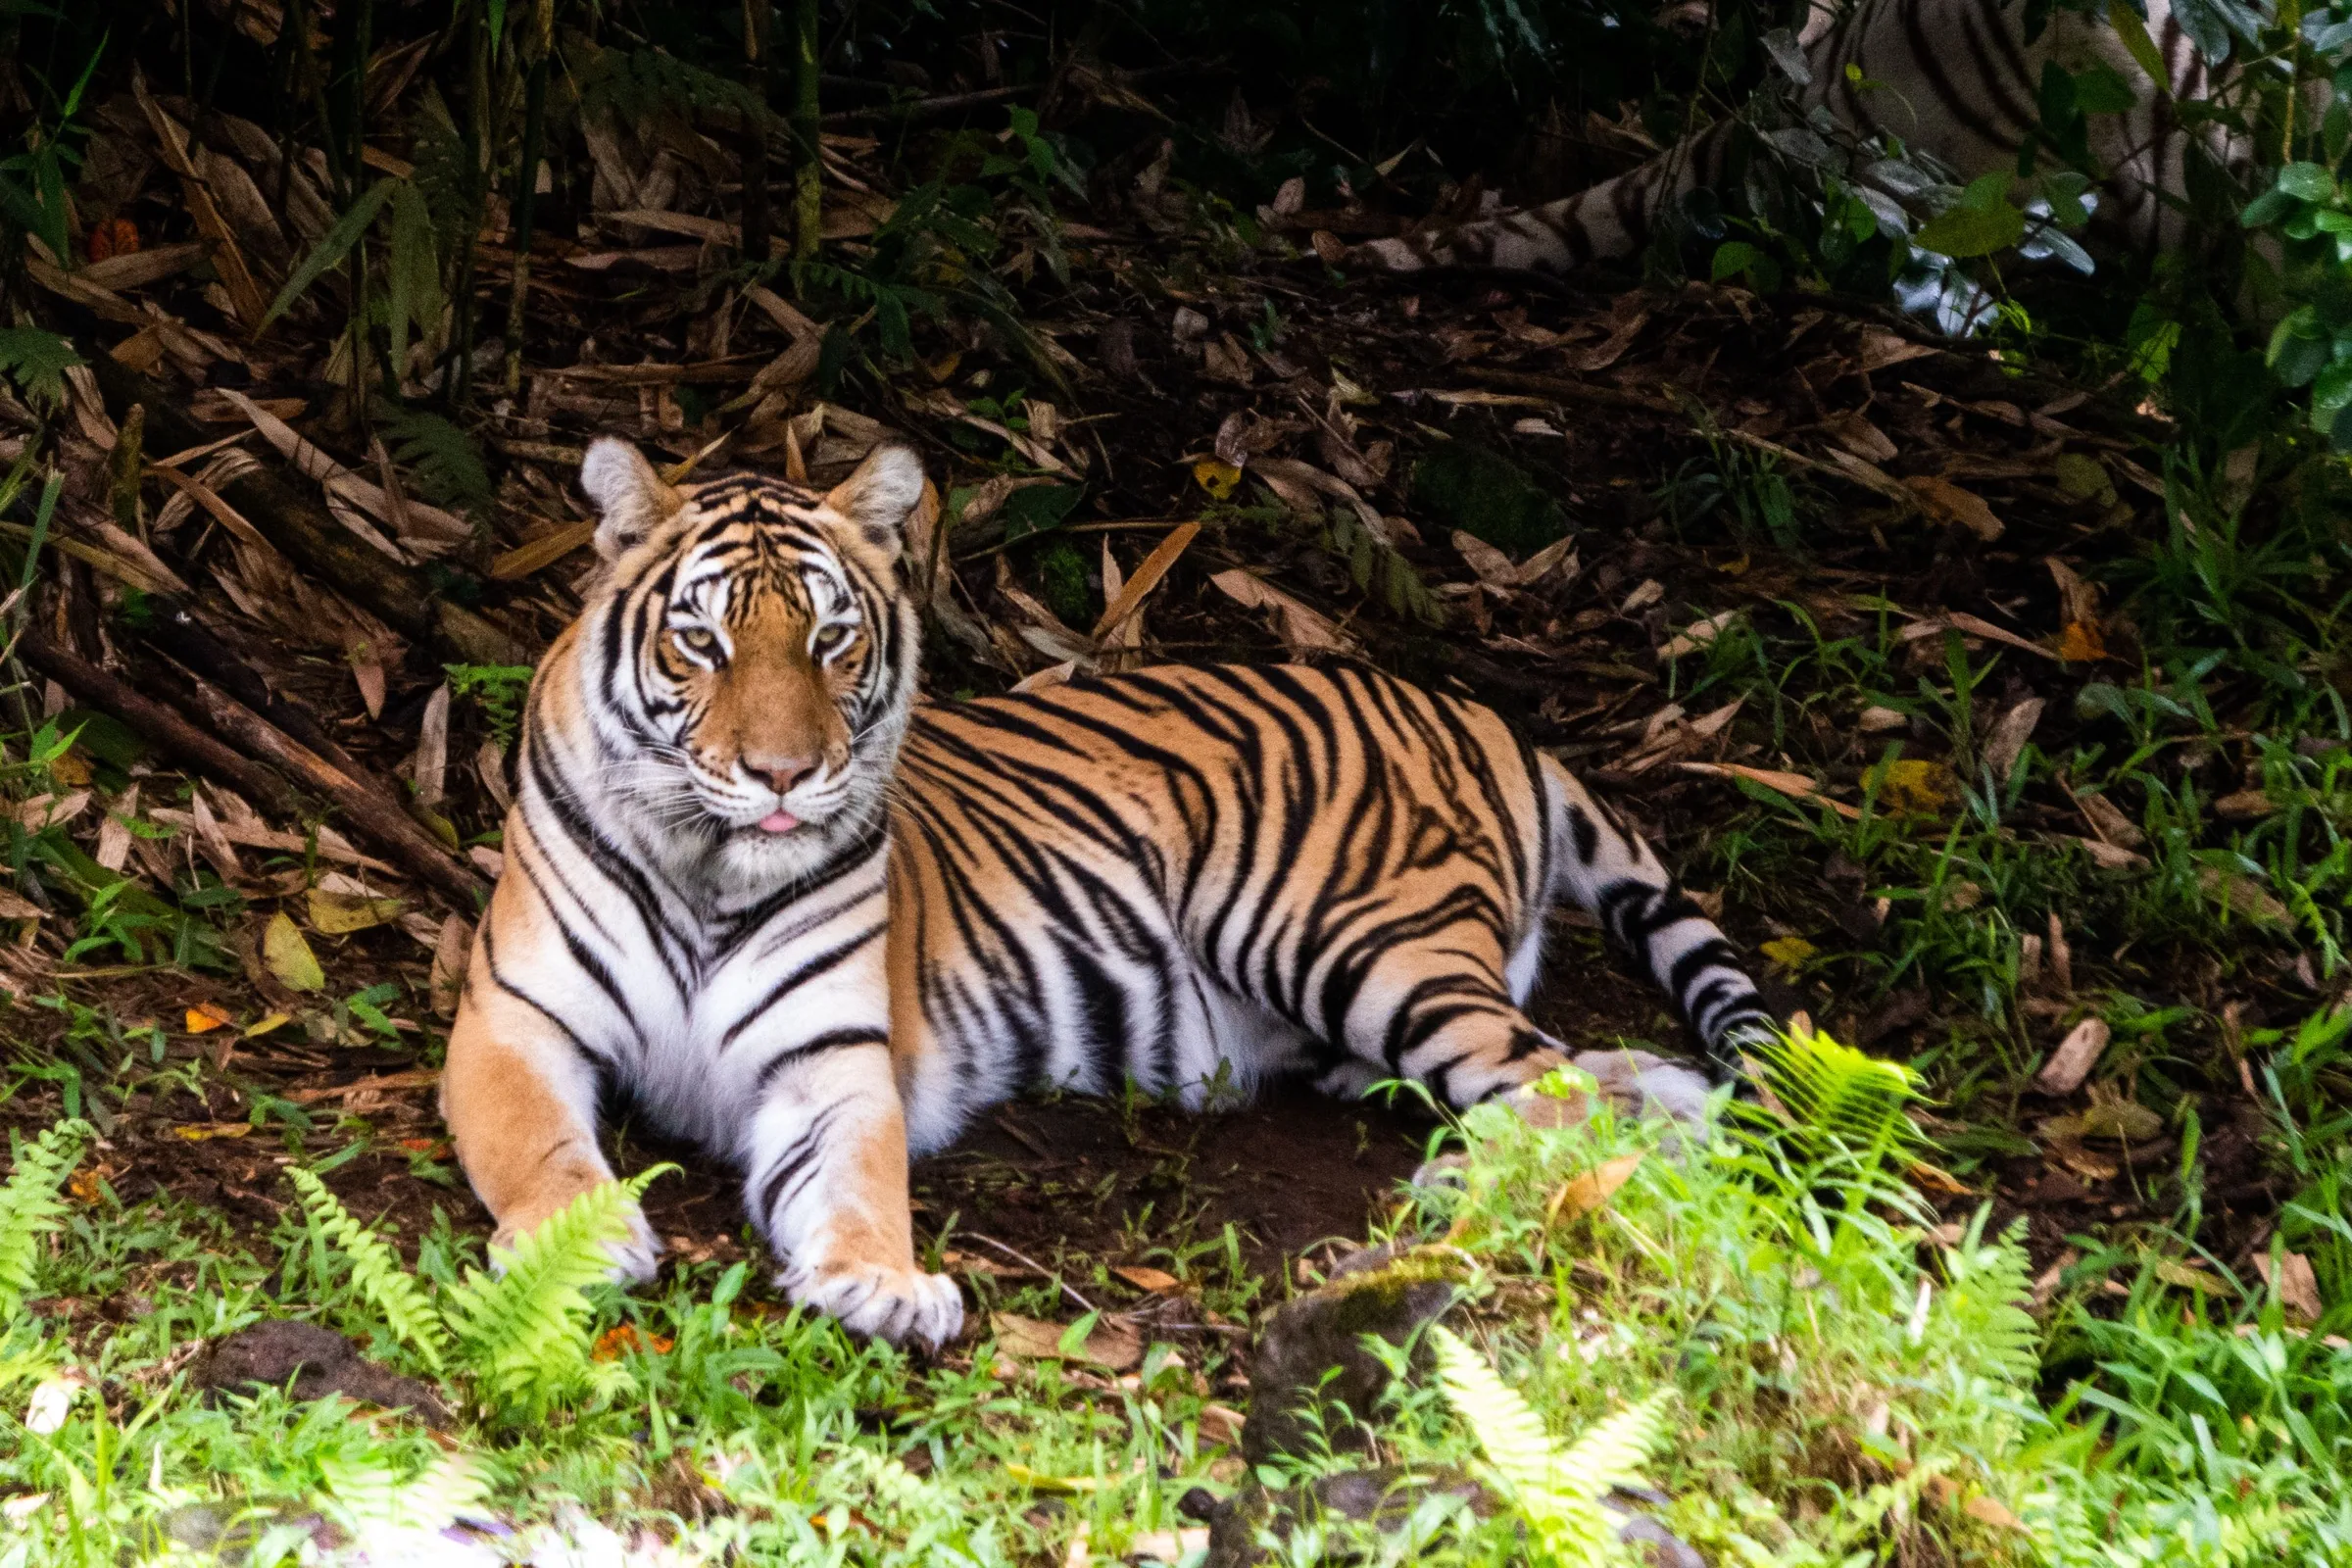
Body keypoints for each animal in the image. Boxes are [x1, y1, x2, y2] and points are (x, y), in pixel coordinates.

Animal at [440, 438, 1777, 1349]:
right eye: (702, 643)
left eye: (830, 639)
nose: (784, 774)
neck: (714, 869)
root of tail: (1487, 712)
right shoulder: (512, 1021)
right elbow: (538, 1146)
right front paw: (578, 1238)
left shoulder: (831, 1064)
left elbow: (863, 1185)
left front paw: (883, 1281)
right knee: (1589, 1075)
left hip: (1348, 938)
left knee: (1557, 1079)